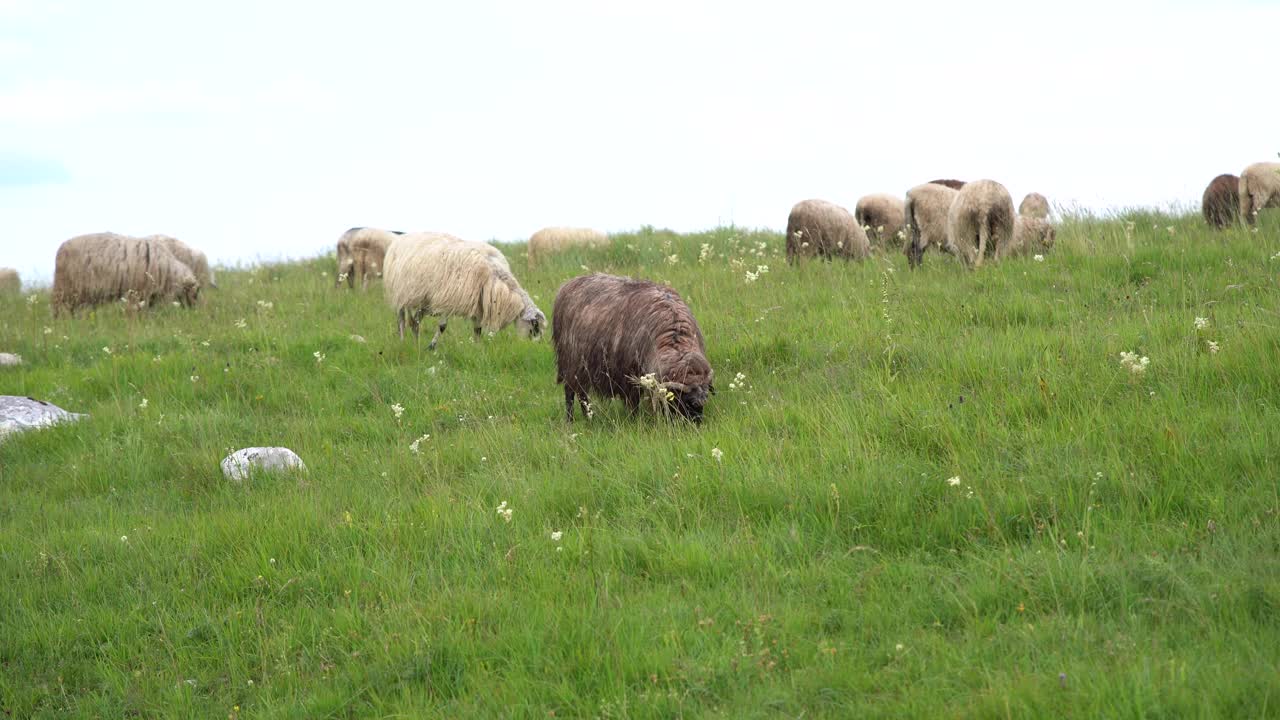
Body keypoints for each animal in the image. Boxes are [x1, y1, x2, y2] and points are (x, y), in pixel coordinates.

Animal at [50, 233, 197, 313]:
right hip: (63, 288)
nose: (194, 311)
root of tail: (60, 249)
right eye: (196, 293)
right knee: (57, 309)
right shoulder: (140, 291)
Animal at [378, 228, 540, 343]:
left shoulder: (477, 302)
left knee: (415, 321)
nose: (536, 345)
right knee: (401, 320)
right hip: (401, 292)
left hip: (423, 299)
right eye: (535, 326)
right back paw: (402, 341)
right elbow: (442, 326)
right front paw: (432, 347)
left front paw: (478, 348)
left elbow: (477, 329)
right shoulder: (450, 298)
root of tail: (400, 238)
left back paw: (415, 342)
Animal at [550, 272, 711, 420]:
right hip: (572, 363)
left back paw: (588, 417)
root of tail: (568, 284)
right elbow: (634, 403)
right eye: (686, 399)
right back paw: (573, 420)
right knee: (571, 392)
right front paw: (634, 419)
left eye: (704, 399)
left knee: (581, 392)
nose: (695, 424)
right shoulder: (629, 376)